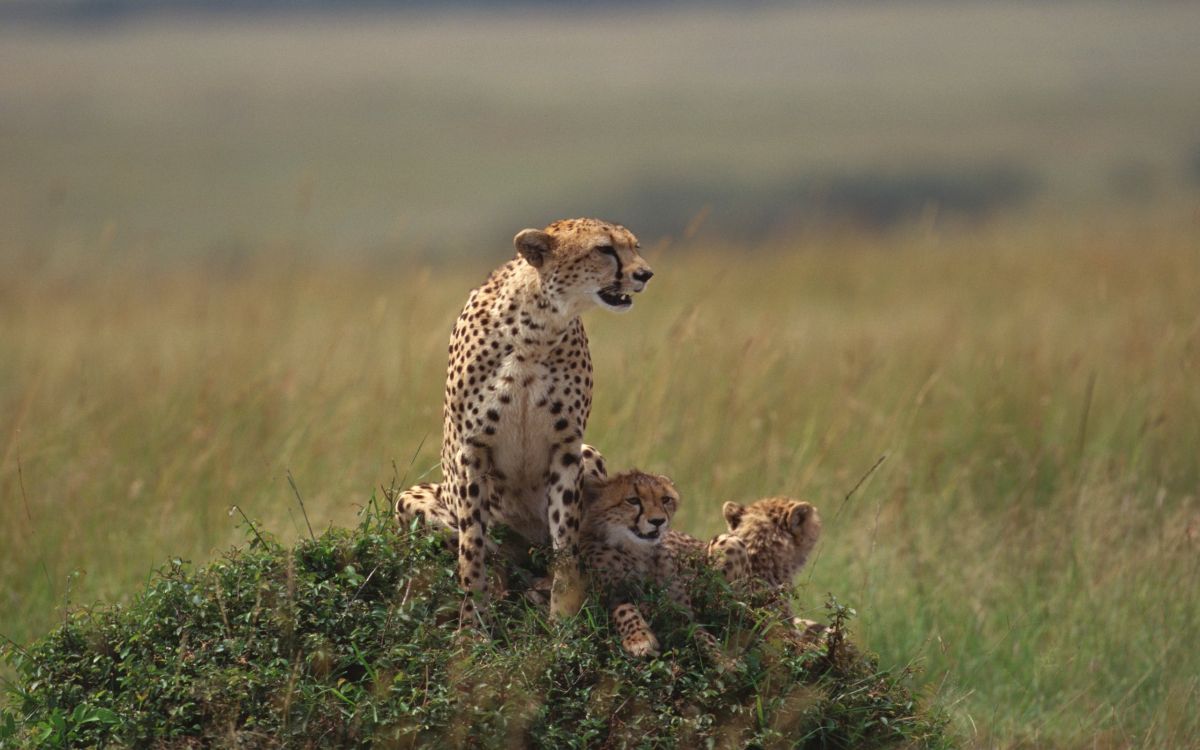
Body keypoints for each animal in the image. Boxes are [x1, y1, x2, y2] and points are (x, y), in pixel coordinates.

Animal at [434, 220, 652, 624]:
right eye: (604, 249)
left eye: (635, 247)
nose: (645, 274)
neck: (536, 329)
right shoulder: (472, 449)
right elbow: (472, 547)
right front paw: (473, 623)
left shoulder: (566, 447)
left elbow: (566, 537)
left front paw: (563, 616)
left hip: (590, 454)